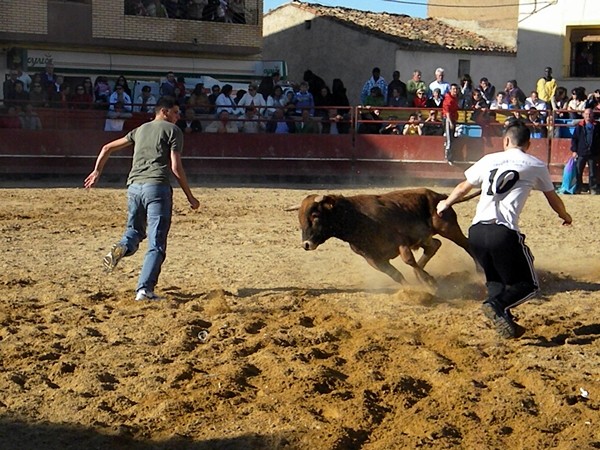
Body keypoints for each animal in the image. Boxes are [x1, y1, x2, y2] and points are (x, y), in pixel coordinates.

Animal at [292, 188, 480, 286]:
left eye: (315, 216)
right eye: (300, 219)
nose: (306, 244)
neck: (358, 218)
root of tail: (440, 196)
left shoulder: (400, 241)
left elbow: (408, 260)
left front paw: (428, 280)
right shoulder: (373, 259)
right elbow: (395, 274)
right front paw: (413, 289)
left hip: (448, 227)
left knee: (467, 245)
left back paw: (479, 270)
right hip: (424, 236)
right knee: (434, 245)